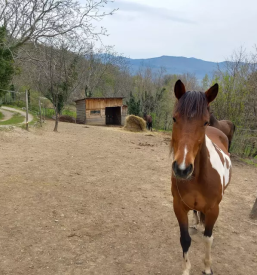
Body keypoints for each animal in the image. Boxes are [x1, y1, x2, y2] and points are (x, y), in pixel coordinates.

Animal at [170, 81, 232, 275]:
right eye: (174, 118)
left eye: (204, 122)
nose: (182, 168)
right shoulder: (179, 207)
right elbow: (185, 239)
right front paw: (186, 269)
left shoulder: (213, 209)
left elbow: (208, 239)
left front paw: (207, 267)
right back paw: (197, 223)